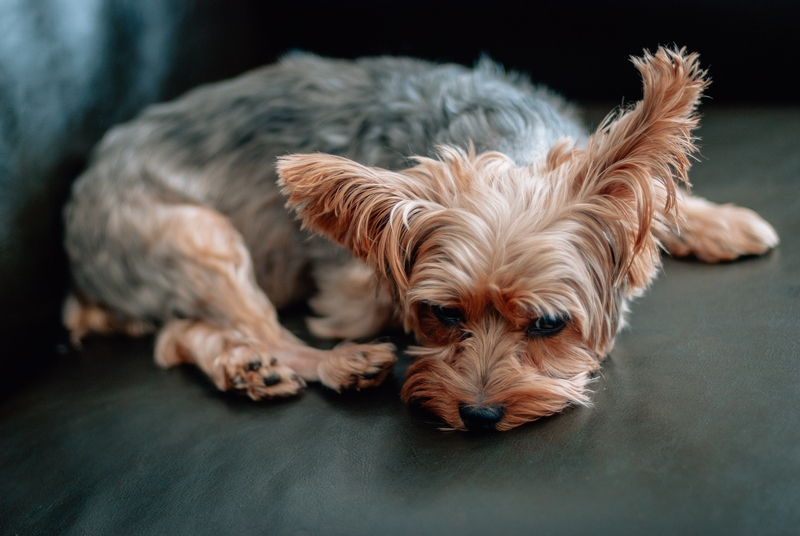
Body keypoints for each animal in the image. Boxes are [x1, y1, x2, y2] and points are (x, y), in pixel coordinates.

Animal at [65, 46, 780, 432]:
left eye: (549, 324)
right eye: (442, 314)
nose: (479, 416)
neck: (503, 149)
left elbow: (647, 198)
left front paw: (716, 220)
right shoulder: (347, 287)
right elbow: (366, 291)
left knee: (175, 335)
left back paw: (243, 368)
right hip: (194, 232)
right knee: (253, 325)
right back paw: (328, 364)